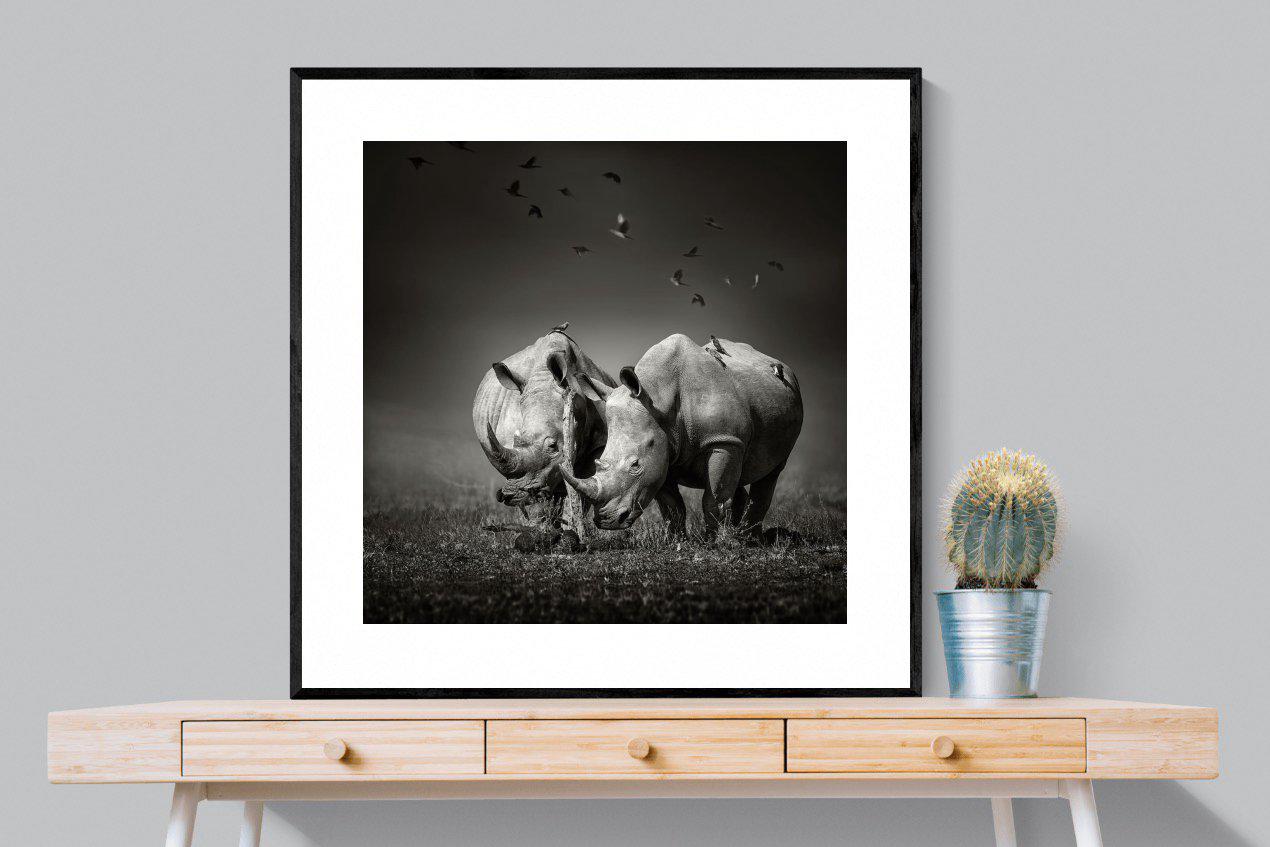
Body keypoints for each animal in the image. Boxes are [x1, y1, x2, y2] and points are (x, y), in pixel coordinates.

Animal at [560, 333, 803, 534]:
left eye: (635, 465)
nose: (607, 521)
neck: (658, 398)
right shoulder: (662, 448)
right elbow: (672, 506)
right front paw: (677, 541)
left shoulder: (723, 441)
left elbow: (714, 499)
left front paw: (716, 543)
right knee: (741, 474)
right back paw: (741, 534)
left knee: (771, 472)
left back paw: (750, 538)